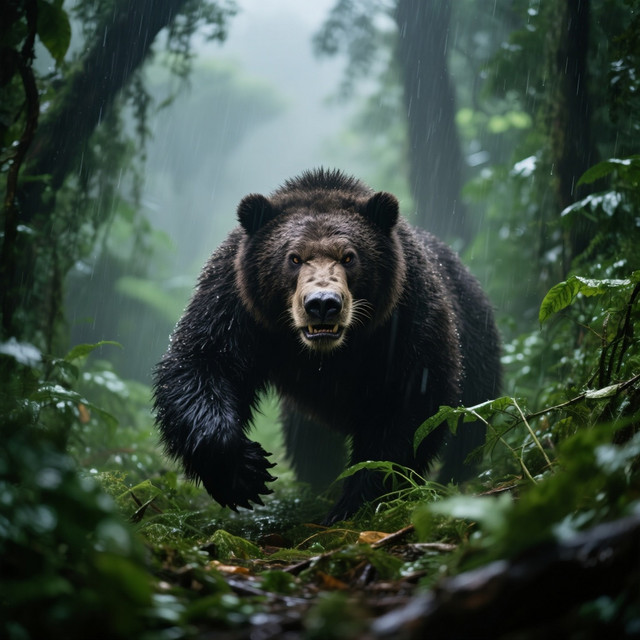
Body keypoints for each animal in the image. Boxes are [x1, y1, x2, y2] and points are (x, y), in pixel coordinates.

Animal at [153, 168, 501, 523]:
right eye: (294, 257)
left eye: (349, 257)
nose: (322, 303)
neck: (328, 355)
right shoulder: (235, 303)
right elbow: (203, 363)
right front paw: (244, 473)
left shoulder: (406, 316)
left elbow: (409, 405)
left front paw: (355, 502)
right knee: (307, 436)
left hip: (477, 342)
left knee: (472, 424)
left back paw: (454, 478)